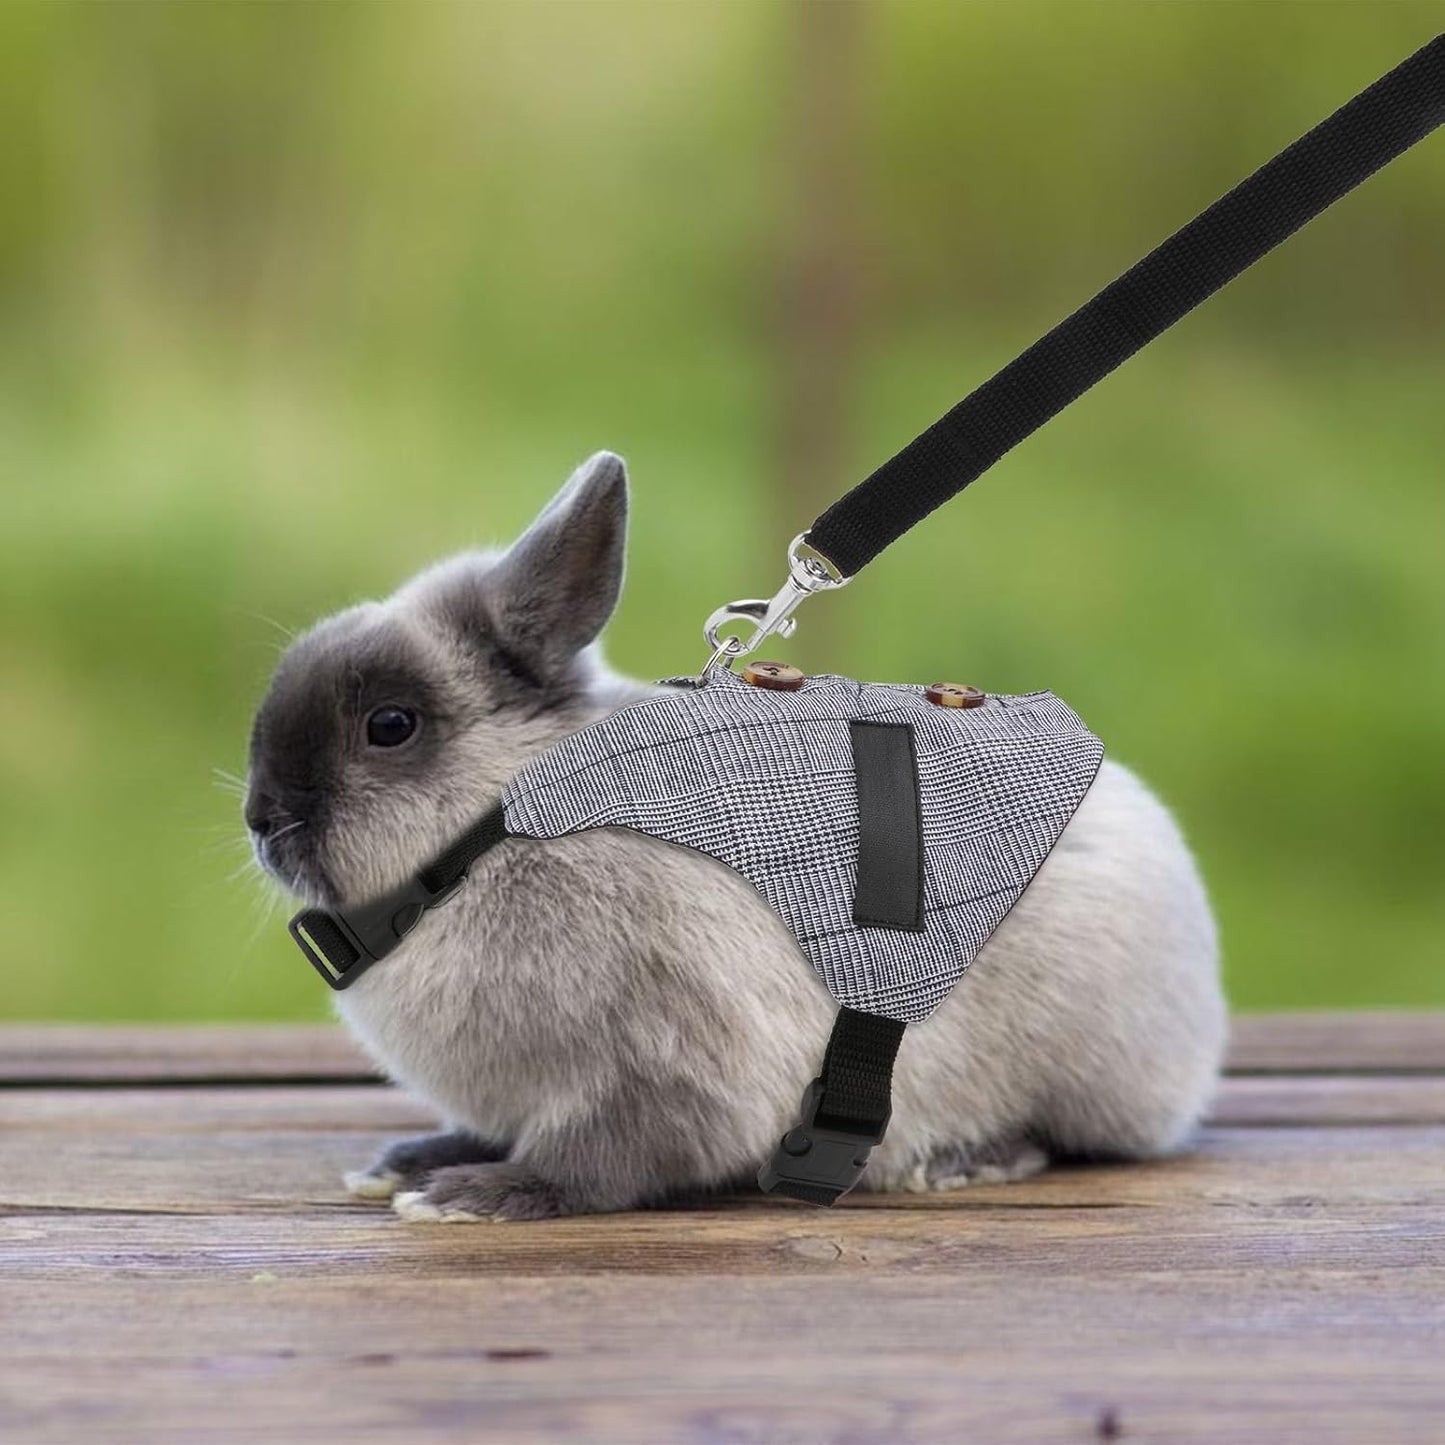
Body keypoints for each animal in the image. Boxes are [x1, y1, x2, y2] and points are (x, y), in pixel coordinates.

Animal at [243, 450, 1226, 1222]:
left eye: (392, 726)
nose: (260, 819)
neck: (508, 824)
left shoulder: (663, 1069)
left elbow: (598, 1160)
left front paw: (476, 1197)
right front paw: (410, 1163)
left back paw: (957, 1161)